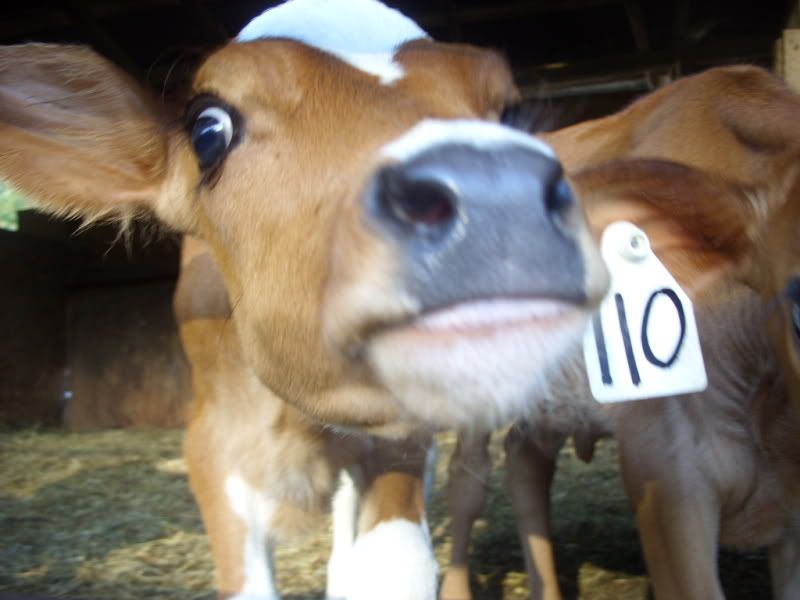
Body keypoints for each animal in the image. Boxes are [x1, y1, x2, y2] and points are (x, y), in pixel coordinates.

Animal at [0, 1, 610, 598]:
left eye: (508, 114)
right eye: (207, 128)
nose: (498, 194)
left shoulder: (402, 439)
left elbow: (393, 570)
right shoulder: (213, 449)